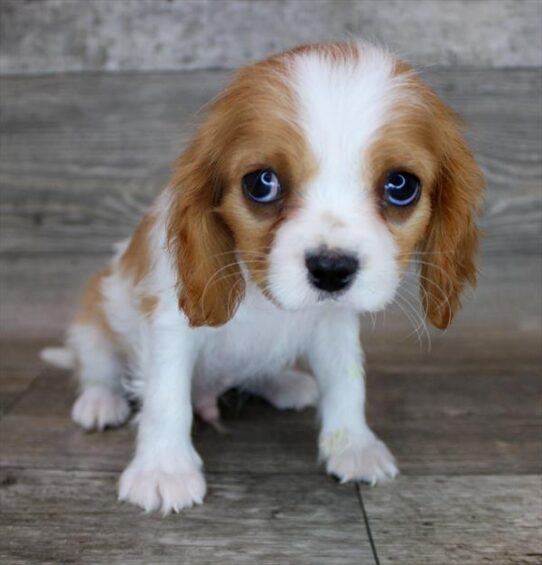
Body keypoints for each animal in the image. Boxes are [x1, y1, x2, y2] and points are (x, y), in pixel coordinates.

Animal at [41, 41, 484, 512]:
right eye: (261, 183)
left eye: (401, 186)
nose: (332, 269)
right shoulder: (168, 322)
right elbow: (166, 396)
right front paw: (163, 470)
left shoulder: (334, 326)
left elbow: (347, 381)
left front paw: (354, 447)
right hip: (94, 316)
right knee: (97, 365)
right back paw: (100, 402)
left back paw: (284, 382)